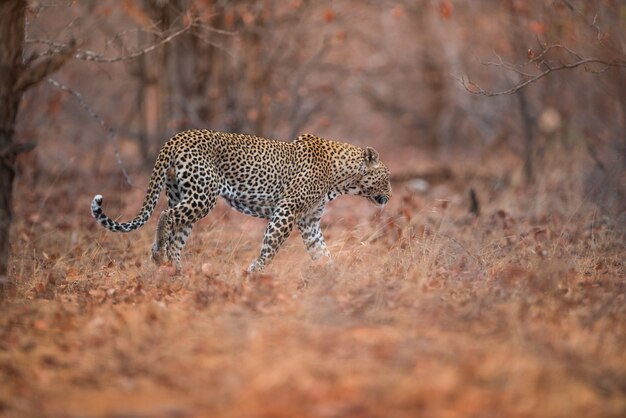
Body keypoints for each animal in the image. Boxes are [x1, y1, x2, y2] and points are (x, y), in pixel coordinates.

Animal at [90, 131, 390, 274]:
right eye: (386, 178)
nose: (389, 197)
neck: (341, 178)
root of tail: (177, 137)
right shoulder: (287, 210)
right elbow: (270, 246)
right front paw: (254, 273)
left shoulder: (309, 221)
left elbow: (322, 252)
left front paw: (333, 277)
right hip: (202, 197)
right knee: (167, 216)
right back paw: (158, 255)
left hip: (183, 195)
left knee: (177, 234)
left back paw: (176, 271)